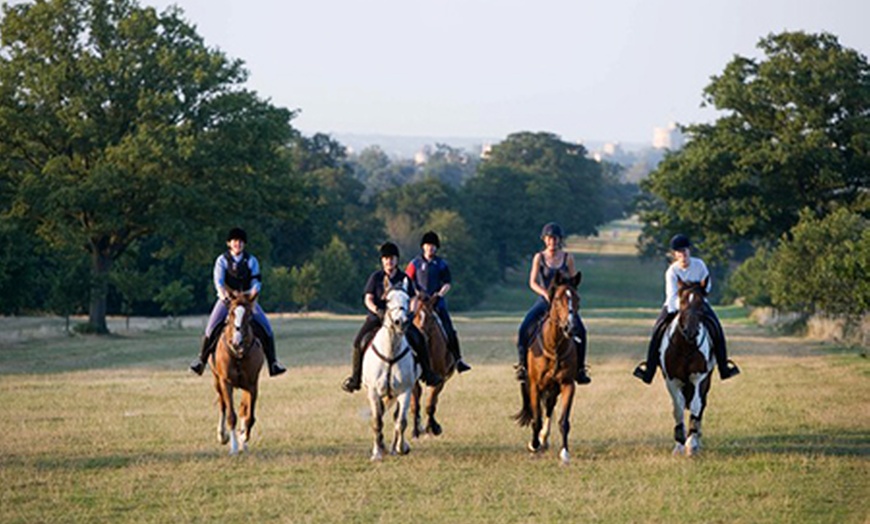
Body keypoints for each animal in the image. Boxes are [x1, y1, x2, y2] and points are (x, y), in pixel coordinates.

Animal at [211, 288, 266, 456]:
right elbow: (231, 416)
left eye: (248, 315)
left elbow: (249, 417)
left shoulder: (252, 385)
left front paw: (243, 439)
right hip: (217, 381)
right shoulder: (225, 382)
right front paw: (234, 447)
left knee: (242, 409)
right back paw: (222, 436)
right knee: (223, 405)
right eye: (231, 313)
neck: (238, 355)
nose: (237, 342)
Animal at [360, 276, 418, 460]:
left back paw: (394, 447)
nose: (401, 322)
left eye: (407, 299)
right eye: (388, 300)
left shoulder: (405, 391)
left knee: (396, 417)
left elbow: (401, 422)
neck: (391, 351)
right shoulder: (373, 392)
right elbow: (377, 421)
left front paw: (400, 448)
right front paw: (378, 453)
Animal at [414, 294, 460, 438]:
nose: (421, 335)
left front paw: (432, 428)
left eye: (432, 318)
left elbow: (430, 404)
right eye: (414, 316)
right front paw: (415, 430)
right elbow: (415, 402)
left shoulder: (440, 378)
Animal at [516, 272, 584, 464]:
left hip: (554, 388)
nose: (572, 327)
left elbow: (563, 421)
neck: (555, 347)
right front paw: (534, 445)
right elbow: (536, 419)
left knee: (549, 407)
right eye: (558, 299)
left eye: (577, 298)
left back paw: (544, 439)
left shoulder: (568, 384)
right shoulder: (534, 385)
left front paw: (565, 453)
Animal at [664, 278, 720, 454]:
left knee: (701, 404)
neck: (686, 346)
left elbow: (696, 406)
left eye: (701, 303)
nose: (690, 331)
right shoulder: (672, 381)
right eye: (682, 302)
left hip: (706, 380)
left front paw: (692, 443)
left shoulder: (699, 378)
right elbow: (678, 408)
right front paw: (679, 444)